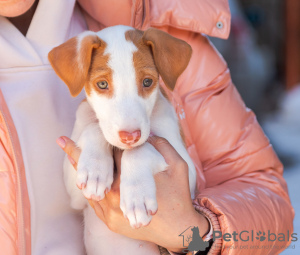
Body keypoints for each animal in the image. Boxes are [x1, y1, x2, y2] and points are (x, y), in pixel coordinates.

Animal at [48, 24, 196, 254]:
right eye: (102, 84)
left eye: (147, 82)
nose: (130, 136)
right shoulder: (75, 195)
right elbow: (94, 128)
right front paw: (95, 170)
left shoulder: (187, 170)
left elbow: (139, 150)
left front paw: (137, 196)